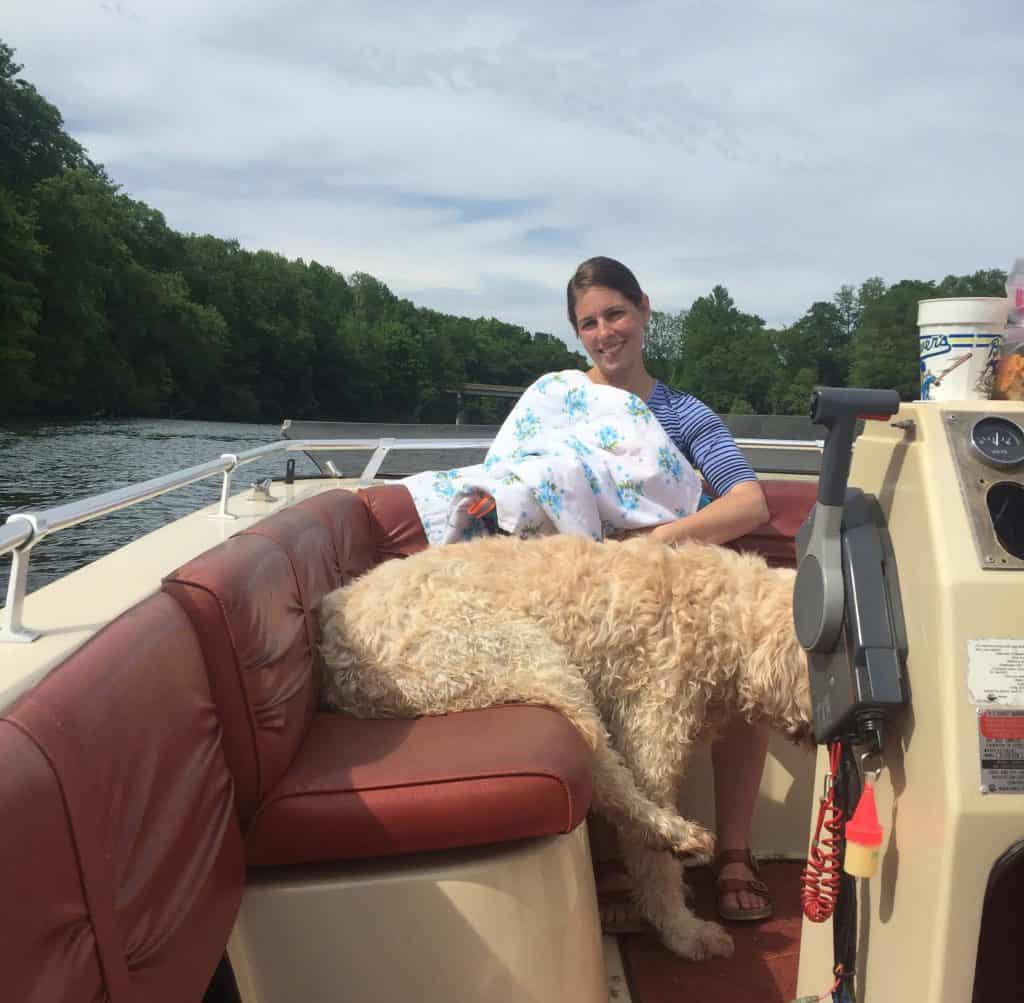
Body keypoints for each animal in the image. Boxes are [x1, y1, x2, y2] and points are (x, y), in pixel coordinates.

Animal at [315, 536, 811, 958]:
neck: (723, 615)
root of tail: (332, 638)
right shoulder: (654, 720)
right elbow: (650, 856)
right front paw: (682, 931)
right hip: (514, 649)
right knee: (603, 770)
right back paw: (677, 835)